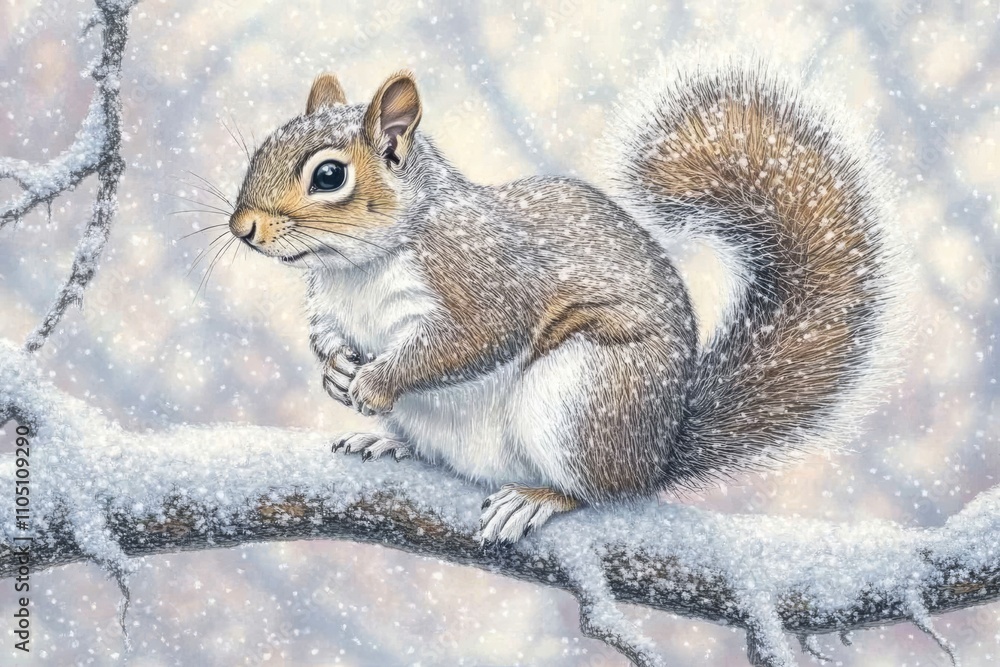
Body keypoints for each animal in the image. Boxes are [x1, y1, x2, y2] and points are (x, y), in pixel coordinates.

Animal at [227, 63, 896, 543]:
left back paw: (535, 497)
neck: (355, 269)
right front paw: (337, 368)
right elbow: (328, 335)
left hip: (582, 395)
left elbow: (473, 339)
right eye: (260, 149)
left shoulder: (480, 277)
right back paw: (388, 442)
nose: (242, 228)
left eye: (329, 176)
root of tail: (657, 457)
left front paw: (375, 382)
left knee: (596, 491)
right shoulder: (332, 305)